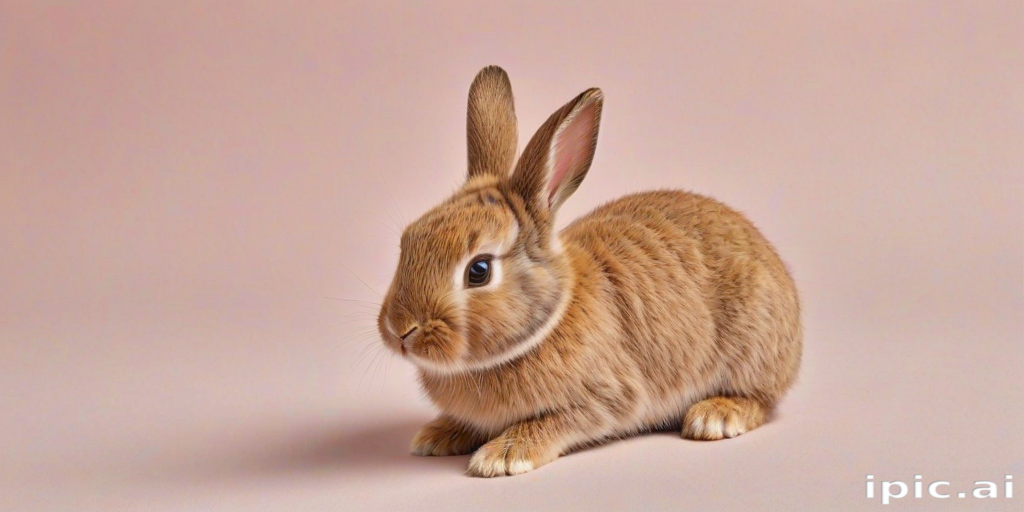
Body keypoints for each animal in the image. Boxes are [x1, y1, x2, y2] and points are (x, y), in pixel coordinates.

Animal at [376, 65, 802, 477]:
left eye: (478, 270)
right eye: (407, 240)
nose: (400, 329)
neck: (546, 321)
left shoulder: (607, 399)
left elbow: (557, 422)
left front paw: (503, 456)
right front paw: (437, 435)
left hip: (753, 344)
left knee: (761, 399)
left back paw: (715, 416)